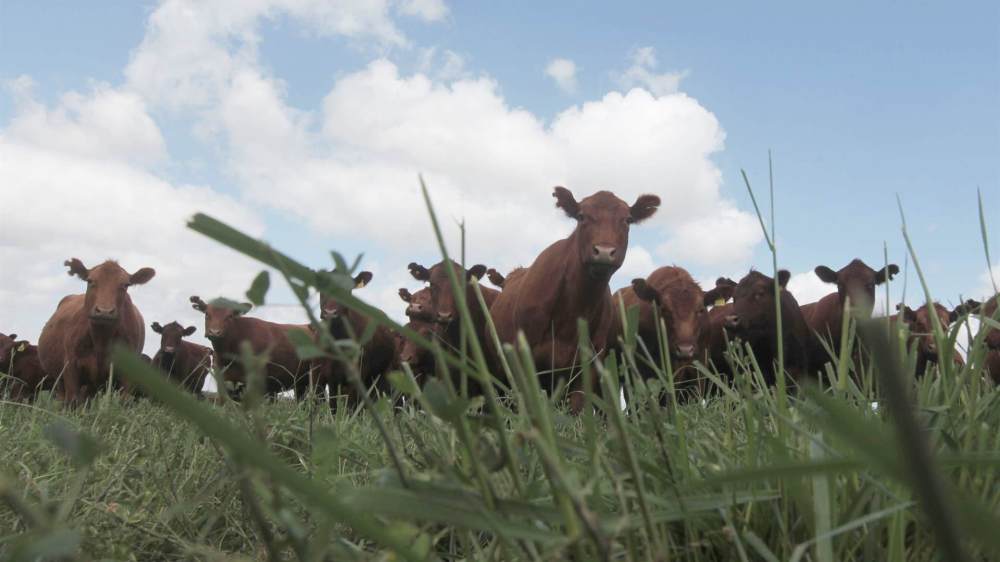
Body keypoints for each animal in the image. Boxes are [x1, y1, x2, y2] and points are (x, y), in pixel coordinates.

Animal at [488, 186, 660, 410]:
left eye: (628, 220)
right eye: (581, 216)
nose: (604, 251)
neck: (572, 310)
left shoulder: (590, 363)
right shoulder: (522, 358)